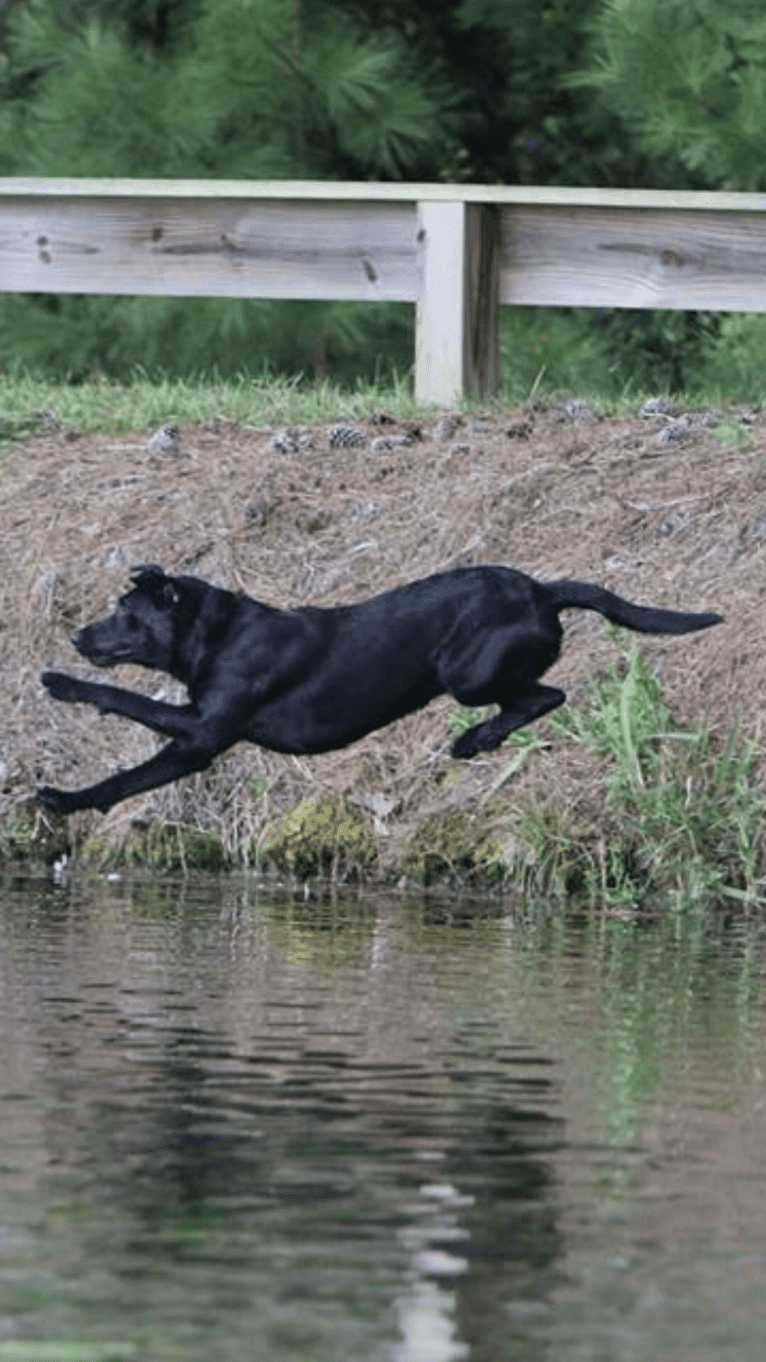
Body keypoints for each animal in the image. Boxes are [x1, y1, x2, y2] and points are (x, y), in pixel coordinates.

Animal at [34, 558, 714, 811]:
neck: (217, 634)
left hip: (466, 674)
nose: (77, 636)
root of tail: (543, 590)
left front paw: (61, 698)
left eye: (126, 614)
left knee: (547, 695)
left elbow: (124, 723)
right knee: (539, 696)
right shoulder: (198, 735)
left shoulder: (203, 733)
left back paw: (474, 740)